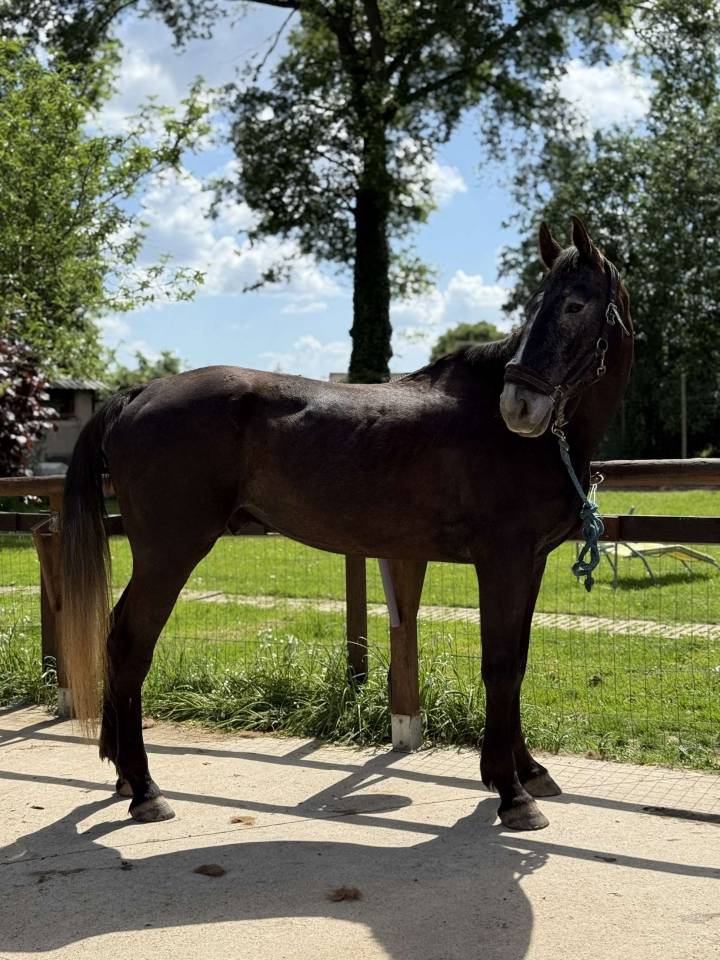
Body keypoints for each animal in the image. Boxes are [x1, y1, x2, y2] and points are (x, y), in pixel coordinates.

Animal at [60, 216, 633, 831]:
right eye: (536, 307)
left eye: (574, 303)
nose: (518, 406)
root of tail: (140, 392)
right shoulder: (501, 562)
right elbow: (500, 665)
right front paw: (512, 793)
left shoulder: (529, 564)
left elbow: (518, 662)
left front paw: (527, 771)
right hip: (170, 554)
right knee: (128, 644)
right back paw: (144, 789)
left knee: (118, 637)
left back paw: (124, 776)